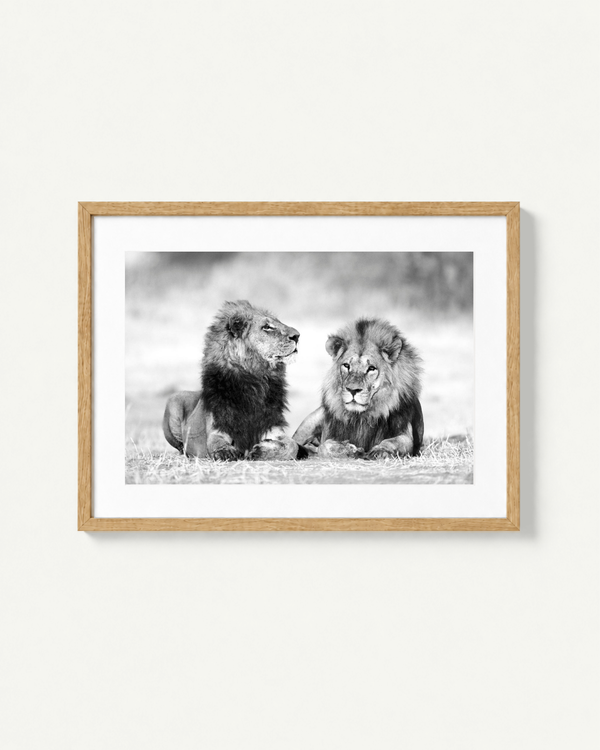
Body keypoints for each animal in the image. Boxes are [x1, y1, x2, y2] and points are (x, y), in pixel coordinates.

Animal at [163, 300, 302, 460]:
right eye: (266, 327)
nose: (297, 336)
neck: (255, 380)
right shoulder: (219, 427)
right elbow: (216, 443)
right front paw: (226, 452)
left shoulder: (272, 426)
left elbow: (293, 446)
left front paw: (260, 450)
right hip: (174, 400)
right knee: (180, 446)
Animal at [292, 318, 424, 459]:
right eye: (346, 365)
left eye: (371, 368)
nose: (353, 390)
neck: (361, 417)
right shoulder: (328, 434)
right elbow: (324, 446)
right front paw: (346, 449)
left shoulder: (405, 434)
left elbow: (393, 442)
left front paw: (380, 450)